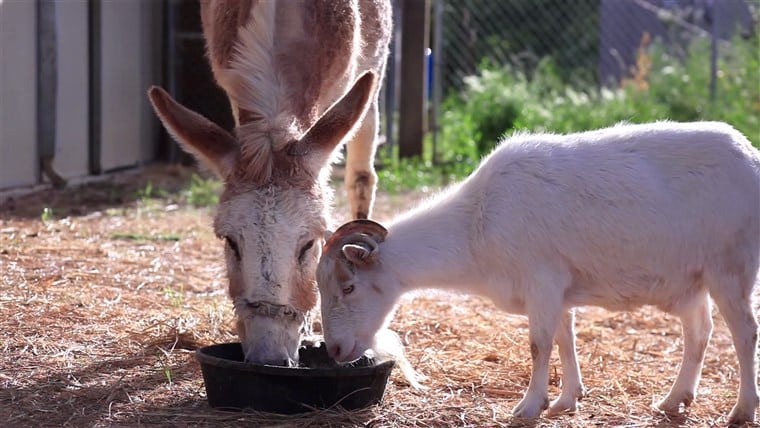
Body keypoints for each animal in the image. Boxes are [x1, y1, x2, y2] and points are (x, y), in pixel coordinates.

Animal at [318, 121, 760, 424]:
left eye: (349, 286)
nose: (335, 351)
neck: (476, 223)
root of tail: (751, 157)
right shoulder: (558, 290)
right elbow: (566, 340)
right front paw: (566, 399)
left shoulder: (542, 282)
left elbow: (539, 344)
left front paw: (529, 405)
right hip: (692, 281)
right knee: (699, 332)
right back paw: (674, 400)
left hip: (729, 268)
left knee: (744, 333)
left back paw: (741, 409)